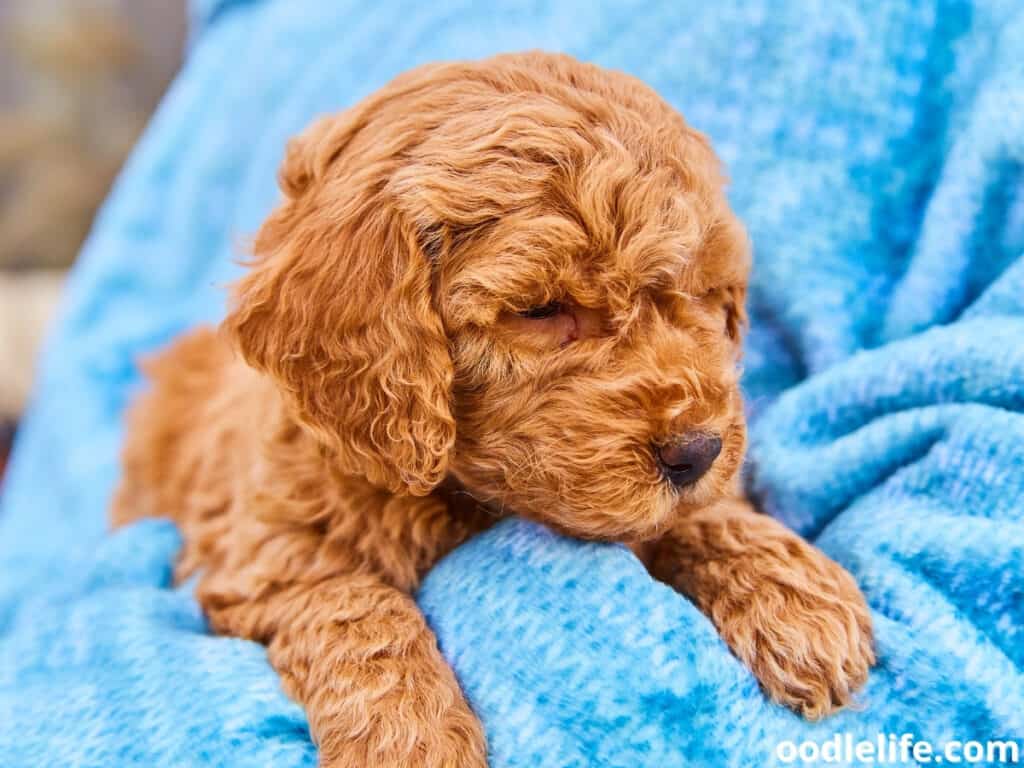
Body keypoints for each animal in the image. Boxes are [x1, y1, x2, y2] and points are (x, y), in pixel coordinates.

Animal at [116, 54, 876, 768]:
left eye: (700, 293)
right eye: (541, 310)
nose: (696, 453)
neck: (458, 492)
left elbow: (701, 516)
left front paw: (796, 596)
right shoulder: (258, 552)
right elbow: (351, 605)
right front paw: (408, 737)